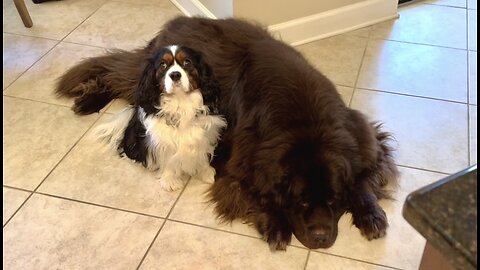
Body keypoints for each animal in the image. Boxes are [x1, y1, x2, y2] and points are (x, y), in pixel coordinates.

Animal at [94, 45, 228, 191]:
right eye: (163, 65)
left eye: (187, 62)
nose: (175, 74)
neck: (180, 101)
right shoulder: (163, 139)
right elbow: (168, 159)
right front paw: (170, 181)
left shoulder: (205, 134)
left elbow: (202, 152)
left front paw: (205, 172)